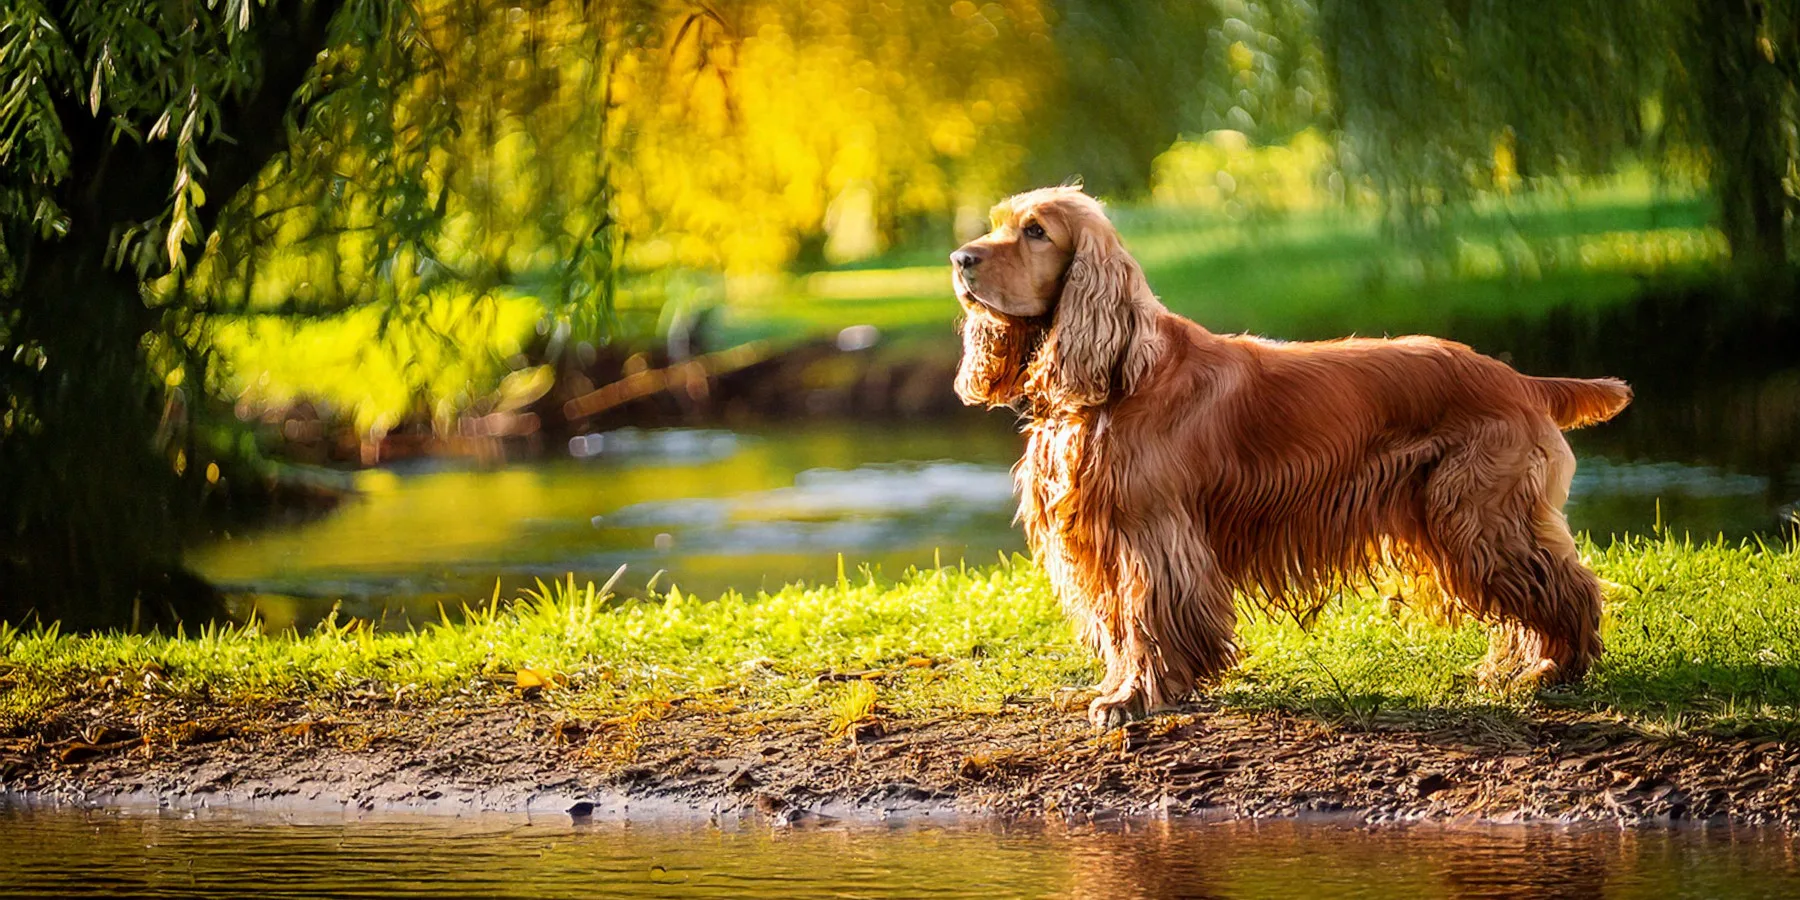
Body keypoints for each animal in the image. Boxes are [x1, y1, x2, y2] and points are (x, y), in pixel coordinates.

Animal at [957, 186, 1634, 727]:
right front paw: (1113, 689)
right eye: (996, 223)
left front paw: (1135, 699)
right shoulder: (1100, 538)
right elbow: (1119, 626)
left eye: (1036, 232)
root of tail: (1521, 380)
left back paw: (1553, 670)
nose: (960, 259)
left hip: (1480, 516)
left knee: (1569, 587)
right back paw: (1517, 669)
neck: (1122, 372)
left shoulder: (1152, 532)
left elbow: (1148, 621)